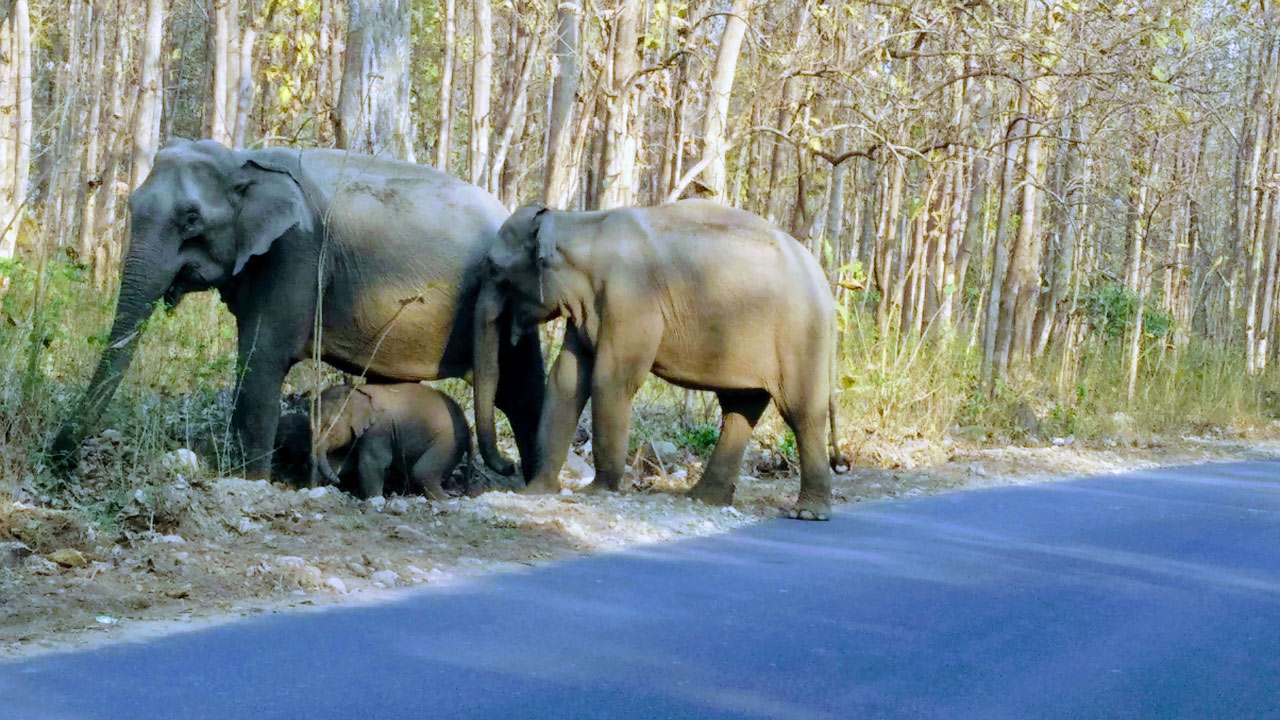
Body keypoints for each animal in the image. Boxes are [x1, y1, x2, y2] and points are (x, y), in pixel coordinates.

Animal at [51, 137, 545, 479]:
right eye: (132, 205)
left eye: (191, 219)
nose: (61, 456)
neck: (244, 158)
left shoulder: (297, 253)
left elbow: (262, 356)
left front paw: (251, 479)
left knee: (521, 389)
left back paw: (532, 482)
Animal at [312, 381, 473, 499]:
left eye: (329, 427)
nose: (337, 482)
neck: (356, 390)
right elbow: (342, 461)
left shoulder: (379, 430)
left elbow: (372, 463)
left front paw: (374, 499)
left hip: (449, 441)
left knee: (422, 471)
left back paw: (444, 499)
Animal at [471, 198, 839, 517]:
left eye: (494, 269)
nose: (508, 466)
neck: (580, 223)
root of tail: (824, 279)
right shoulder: (588, 310)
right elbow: (566, 379)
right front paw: (535, 491)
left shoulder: (630, 300)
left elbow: (611, 379)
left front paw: (596, 491)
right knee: (739, 408)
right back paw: (703, 498)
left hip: (801, 333)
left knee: (800, 411)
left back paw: (808, 512)